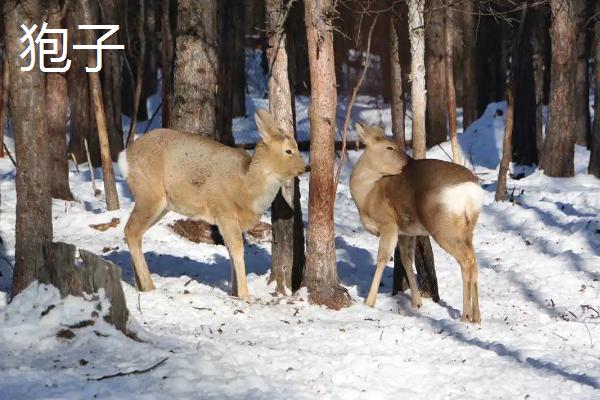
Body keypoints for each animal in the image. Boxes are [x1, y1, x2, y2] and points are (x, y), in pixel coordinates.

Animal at [120, 109, 312, 300]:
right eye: (288, 150)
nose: (307, 167)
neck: (246, 188)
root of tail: (125, 157)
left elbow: (230, 251)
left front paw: (235, 292)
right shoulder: (224, 211)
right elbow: (237, 249)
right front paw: (245, 295)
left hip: (161, 204)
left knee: (134, 233)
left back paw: (139, 284)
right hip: (149, 194)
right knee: (130, 230)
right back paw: (149, 286)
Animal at [350, 123, 486, 324]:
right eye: (390, 147)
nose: (408, 162)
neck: (367, 195)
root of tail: (471, 190)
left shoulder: (388, 223)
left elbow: (382, 258)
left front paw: (369, 301)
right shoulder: (406, 231)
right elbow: (407, 260)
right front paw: (417, 302)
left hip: (443, 227)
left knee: (466, 261)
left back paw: (465, 315)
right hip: (467, 228)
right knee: (474, 261)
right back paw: (476, 316)